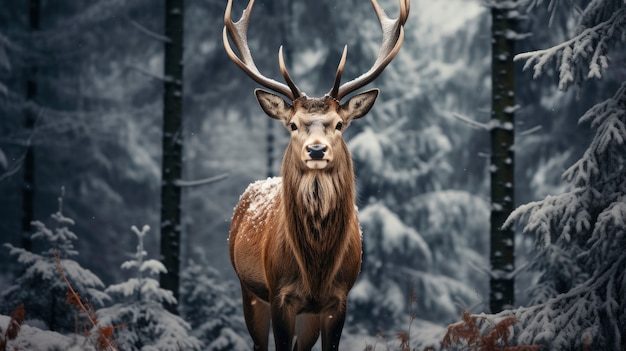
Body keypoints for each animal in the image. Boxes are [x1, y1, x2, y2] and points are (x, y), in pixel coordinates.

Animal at [222, 1, 408, 350]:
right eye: (293, 124)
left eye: (339, 123)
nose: (317, 150)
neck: (316, 271)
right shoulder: (279, 294)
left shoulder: (338, 299)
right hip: (248, 288)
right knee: (258, 342)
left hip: (306, 315)